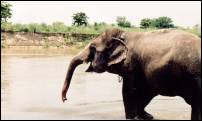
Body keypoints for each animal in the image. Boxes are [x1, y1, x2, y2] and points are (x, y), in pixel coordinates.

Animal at [61, 28, 200, 120]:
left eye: (92, 48)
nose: (64, 99)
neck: (123, 34)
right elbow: (144, 92)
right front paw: (147, 116)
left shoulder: (130, 64)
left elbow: (129, 91)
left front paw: (132, 118)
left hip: (195, 75)